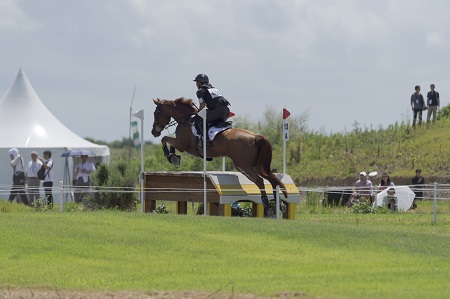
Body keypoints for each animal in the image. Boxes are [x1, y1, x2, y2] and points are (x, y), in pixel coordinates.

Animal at [149, 96, 286, 213]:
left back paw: (267, 206)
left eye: (156, 113)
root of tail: (256, 136)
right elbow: (168, 142)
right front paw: (174, 158)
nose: (154, 132)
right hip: (257, 166)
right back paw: (280, 205)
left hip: (243, 166)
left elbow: (165, 139)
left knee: (260, 181)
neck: (186, 118)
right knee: (271, 178)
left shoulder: (182, 144)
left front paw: (171, 156)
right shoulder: (180, 143)